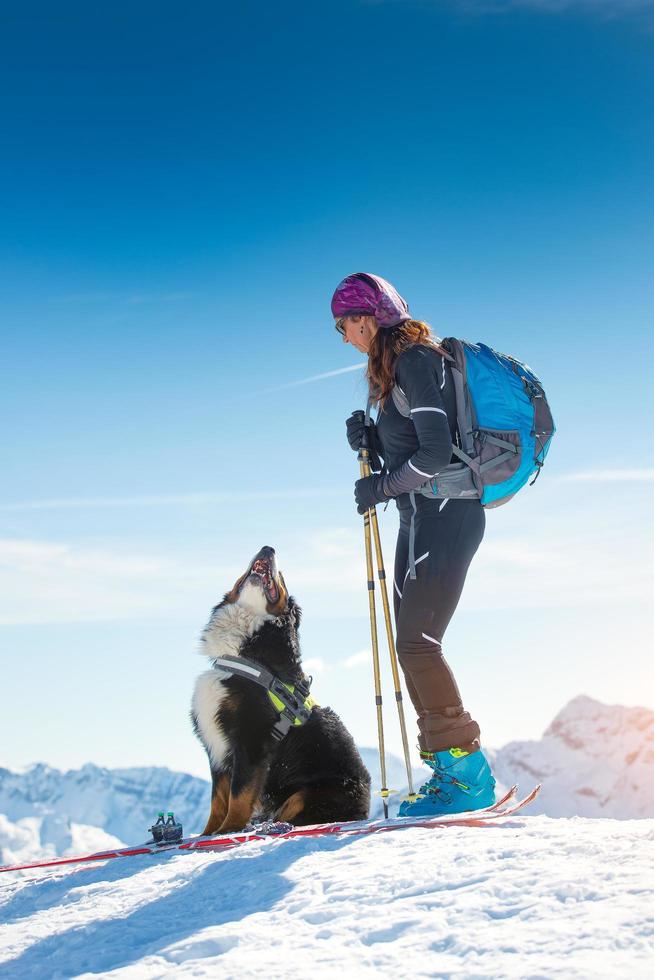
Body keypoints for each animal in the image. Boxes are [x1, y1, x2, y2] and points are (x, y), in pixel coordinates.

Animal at [192, 544, 372, 836]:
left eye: (282, 578)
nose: (268, 548)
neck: (245, 656)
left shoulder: (251, 739)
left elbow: (238, 795)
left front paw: (229, 830)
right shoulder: (217, 747)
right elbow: (218, 799)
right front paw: (208, 834)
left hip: (312, 792)